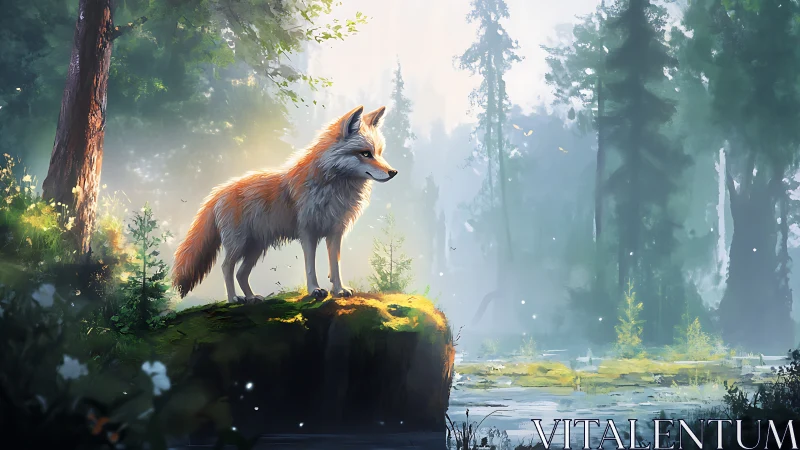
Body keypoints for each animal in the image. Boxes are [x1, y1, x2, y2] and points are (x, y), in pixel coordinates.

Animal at [172, 105, 397, 303]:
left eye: (379, 152)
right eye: (365, 153)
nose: (393, 172)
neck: (333, 186)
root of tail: (218, 191)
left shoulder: (335, 232)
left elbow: (335, 266)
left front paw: (339, 290)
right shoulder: (308, 233)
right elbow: (310, 267)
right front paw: (314, 290)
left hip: (255, 248)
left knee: (241, 274)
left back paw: (252, 298)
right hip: (239, 245)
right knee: (227, 268)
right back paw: (233, 298)